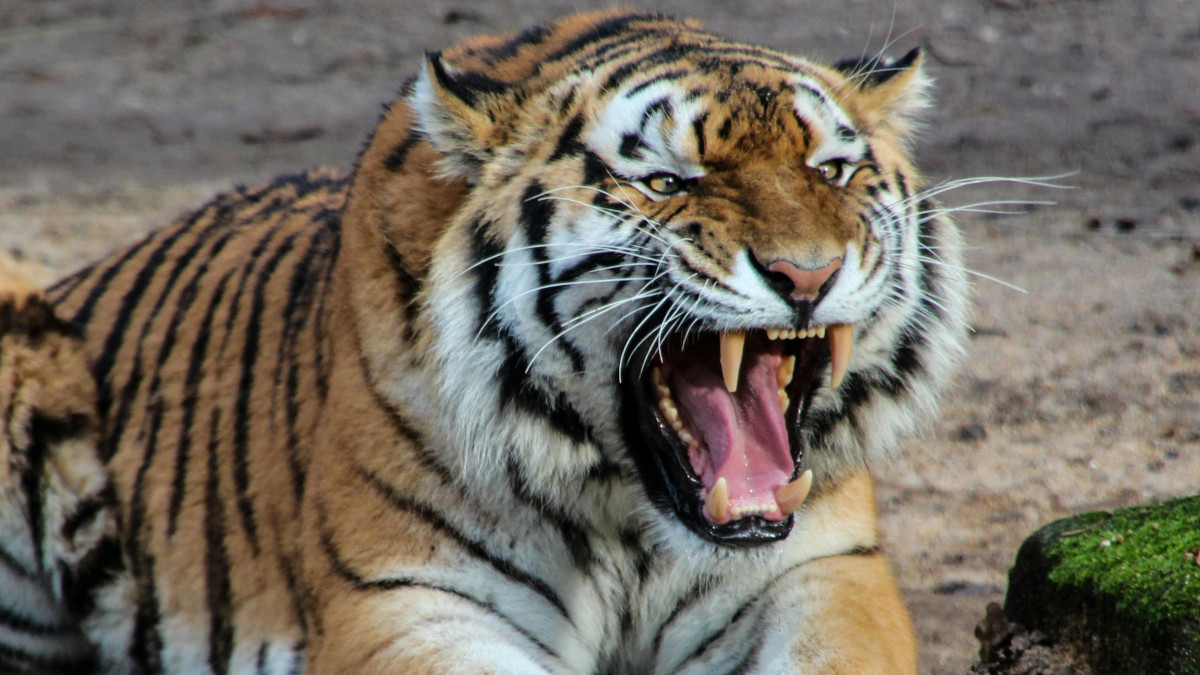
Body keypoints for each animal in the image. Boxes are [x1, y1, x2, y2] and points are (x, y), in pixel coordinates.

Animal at [0, 9, 968, 674]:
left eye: (831, 170)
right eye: (665, 182)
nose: (807, 273)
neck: (633, 521)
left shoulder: (826, 572)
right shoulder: (406, 598)